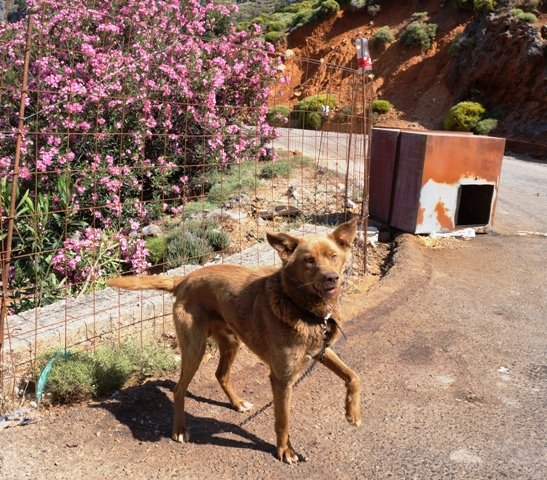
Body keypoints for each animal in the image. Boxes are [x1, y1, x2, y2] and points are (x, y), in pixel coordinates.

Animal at [108, 219, 362, 464]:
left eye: (333, 256)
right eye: (309, 260)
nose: (332, 278)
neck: (299, 306)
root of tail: (184, 279)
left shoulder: (321, 350)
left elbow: (353, 376)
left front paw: (353, 413)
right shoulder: (282, 378)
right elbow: (283, 420)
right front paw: (285, 451)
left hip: (231, 341)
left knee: (220, 374)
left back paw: (237, 403)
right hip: (194, 348)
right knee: (180, 389)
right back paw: (179, 429)